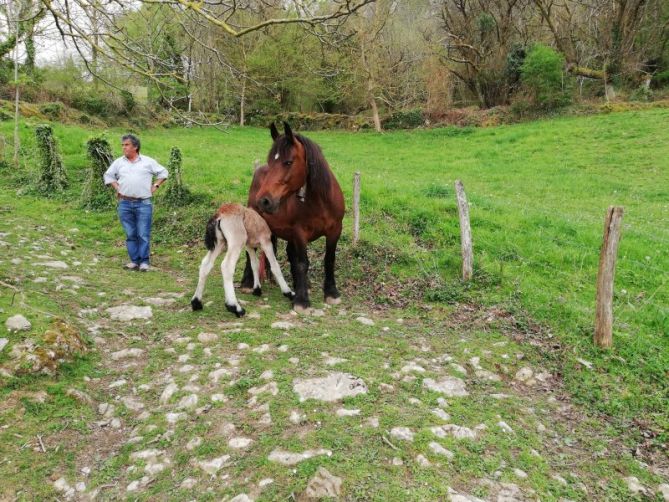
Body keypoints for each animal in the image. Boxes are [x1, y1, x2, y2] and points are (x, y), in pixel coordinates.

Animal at [240, 121, 344, 310]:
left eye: (288, 162)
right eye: (270, 161)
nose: (263, 201)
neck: (320, 202)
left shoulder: (335, 230)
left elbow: (329, 260)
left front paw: (331, 293)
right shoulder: (300, 233)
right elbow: (302, 263)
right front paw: (302, 301)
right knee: (251, 250)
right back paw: (247, 283)